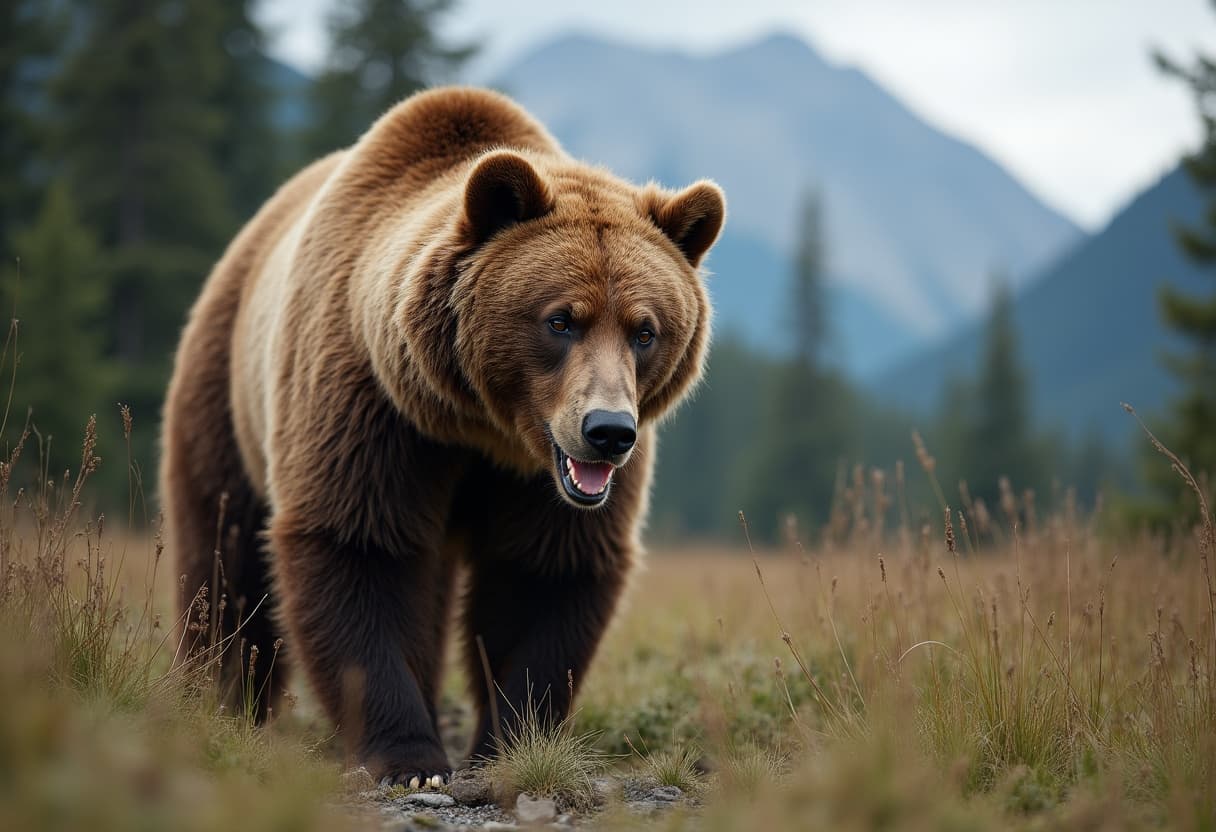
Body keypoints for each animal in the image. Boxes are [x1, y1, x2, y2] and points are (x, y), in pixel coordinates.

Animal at [160, 86, 725, 785]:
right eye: (560, 320)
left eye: (644, 330)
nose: (607, 432)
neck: (477, 426)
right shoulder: (371, 408)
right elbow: (358, 545)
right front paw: (410, 758)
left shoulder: (536, 484)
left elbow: (545, 570)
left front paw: (509, 742)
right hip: (225, 389)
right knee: (223, 555)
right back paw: (219, 700)